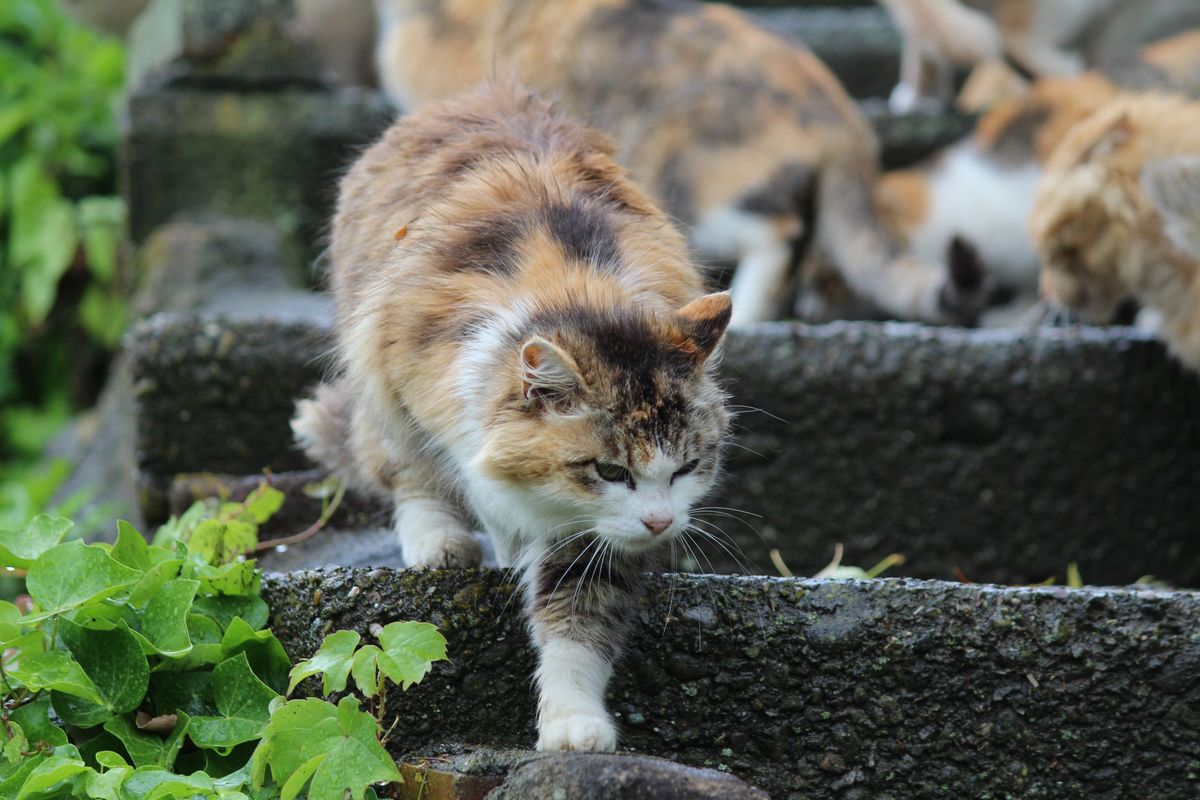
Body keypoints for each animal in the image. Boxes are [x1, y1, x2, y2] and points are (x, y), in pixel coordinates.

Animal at [295, 82, 734, 753]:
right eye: (610, 471)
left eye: (686, 468)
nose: (660, 524)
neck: (576, 291)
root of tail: (486, 90)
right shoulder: (415, 380)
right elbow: (468, 488)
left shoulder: (594, 539)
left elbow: (579, 617)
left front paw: (575, 724)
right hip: (373, 371)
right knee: (406, 470)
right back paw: (441, 544)